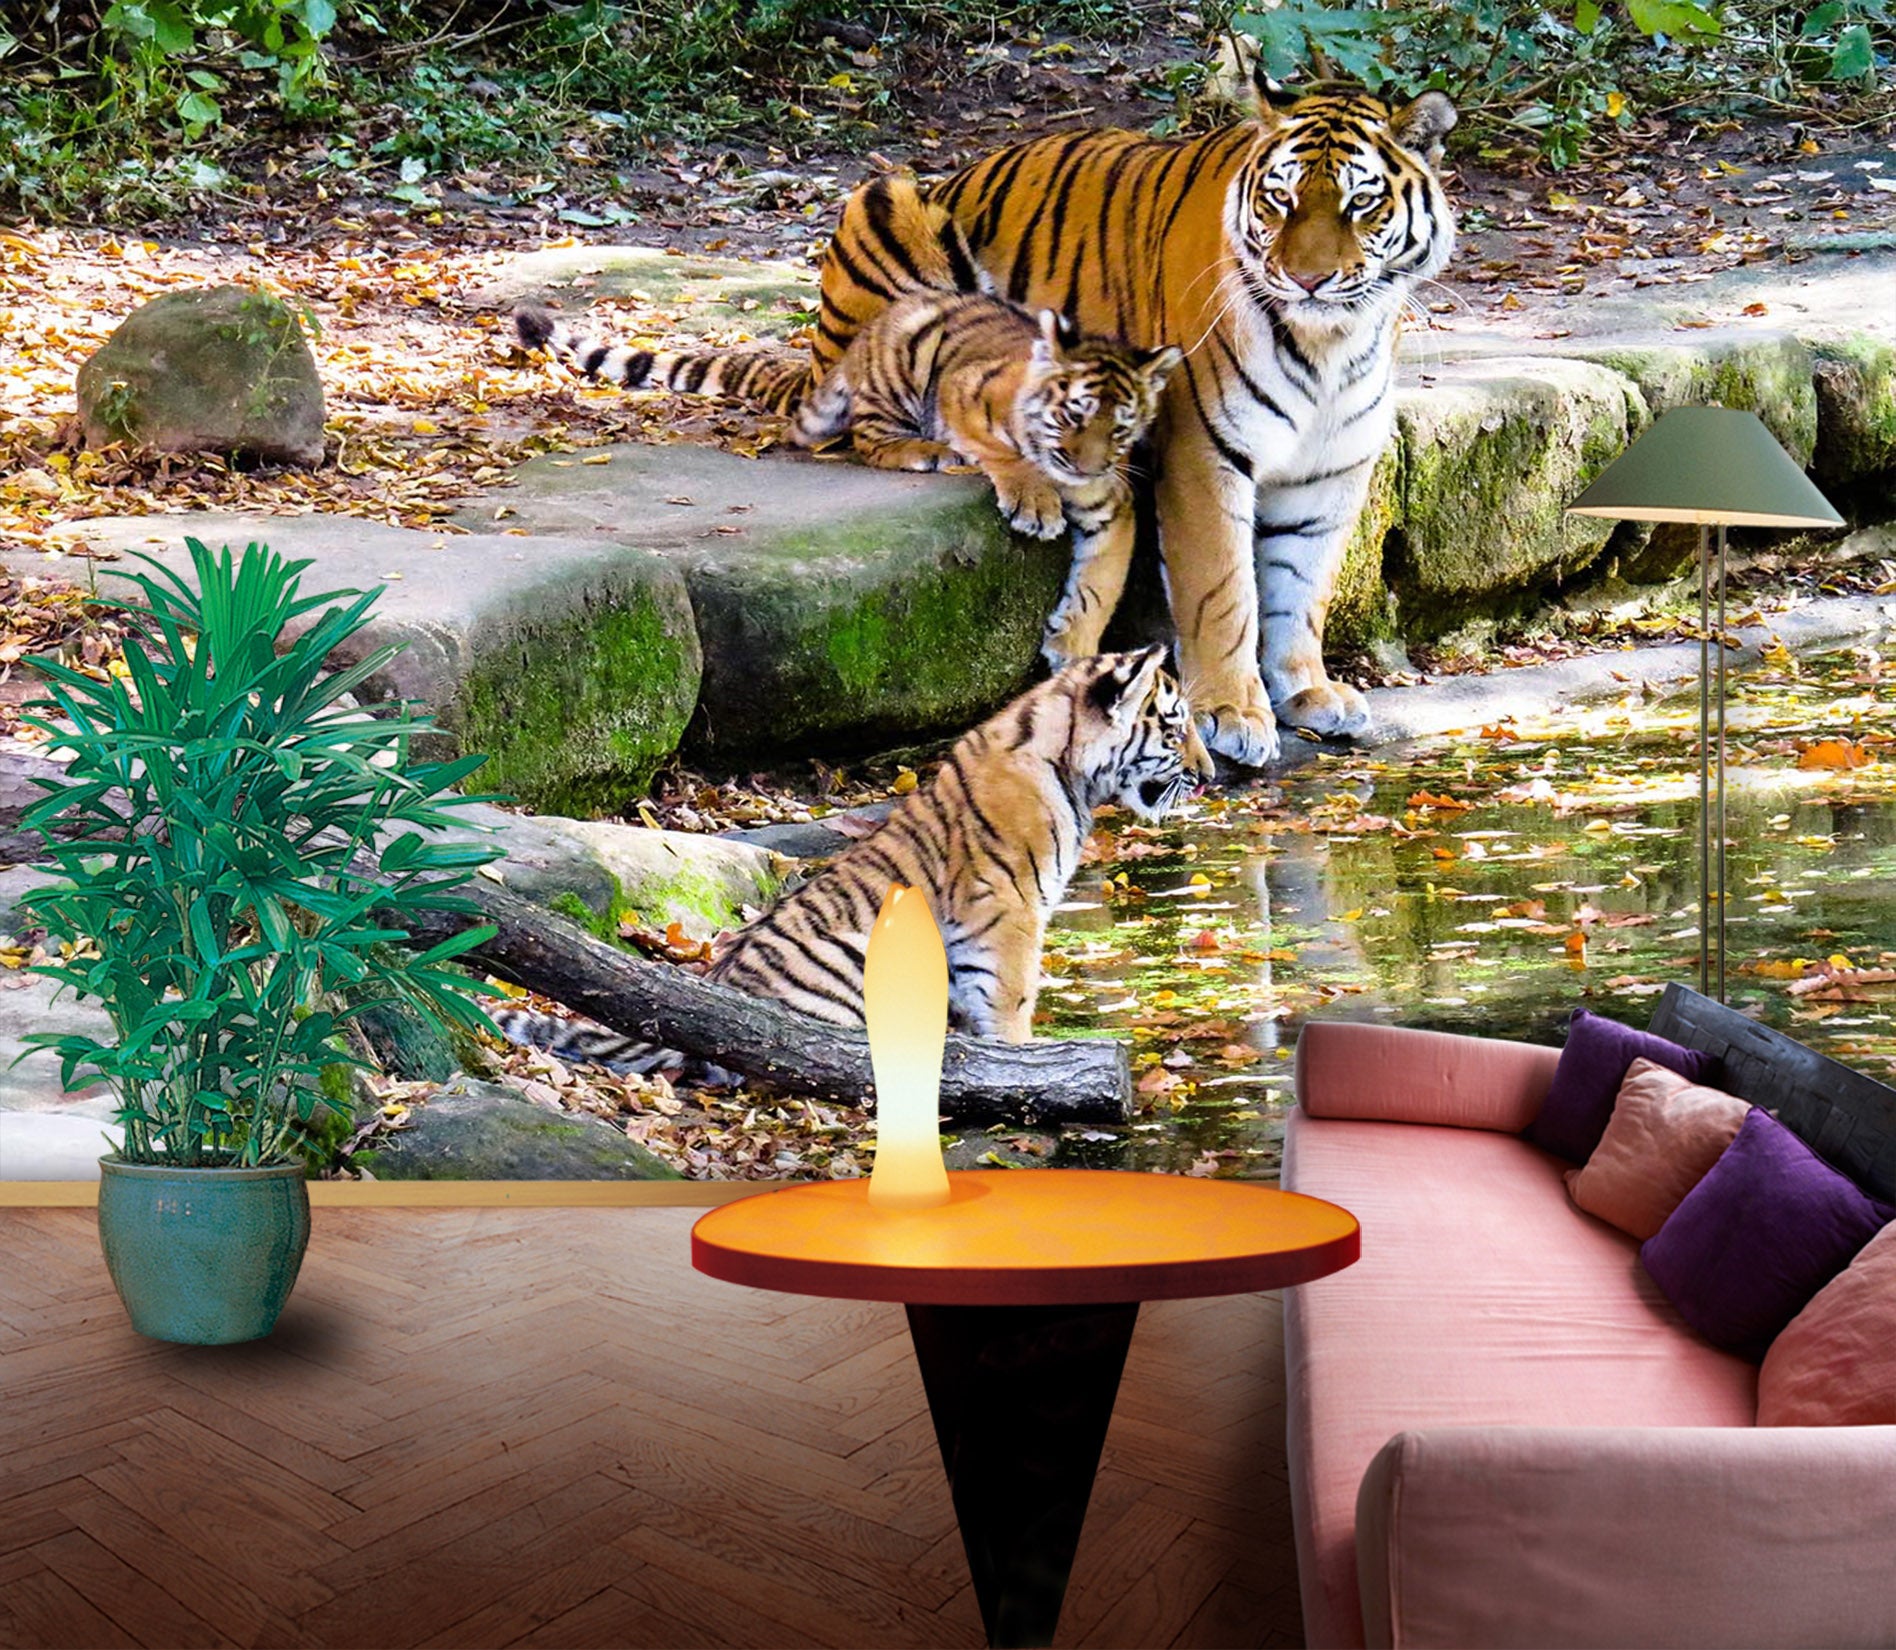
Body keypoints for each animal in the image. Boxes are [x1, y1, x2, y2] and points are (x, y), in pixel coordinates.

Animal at [489, 646, 1212, 1072]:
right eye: (1175, 729)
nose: (1211, 777)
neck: (1069, 766)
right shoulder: (1008, 913)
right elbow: (1011, 999)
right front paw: (1020, 1061)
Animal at [810, 78, 1459, 767]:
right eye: (1280, 200)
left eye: (1361, 202)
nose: (1306, 279)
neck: (1332, 343)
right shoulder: (1205, 452)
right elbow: (1222, 592)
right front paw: (1232, 711)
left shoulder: (1333, 470)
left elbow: (1302, 585)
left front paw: (1308, 690)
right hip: (886, 205)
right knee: (868, 415)